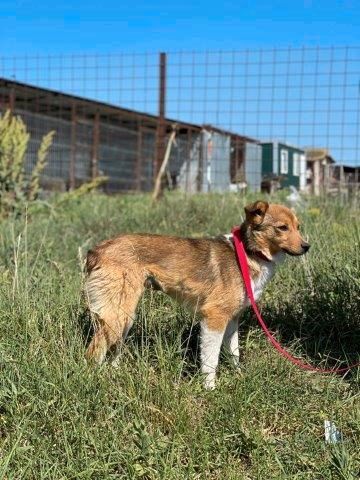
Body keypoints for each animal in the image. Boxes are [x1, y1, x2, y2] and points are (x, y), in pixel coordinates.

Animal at [83, 201, 310, 388]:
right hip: (119, 315)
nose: (307, 247)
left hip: (124, 317)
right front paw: (210, 389)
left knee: (112, 353)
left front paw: (239, 376)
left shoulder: (232, 319)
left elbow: (234, 352)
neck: (248, 252)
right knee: (93, 353)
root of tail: (97, 250)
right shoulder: (214, 317)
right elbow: (210, 360)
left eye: (298, 227)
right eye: (282, 227)